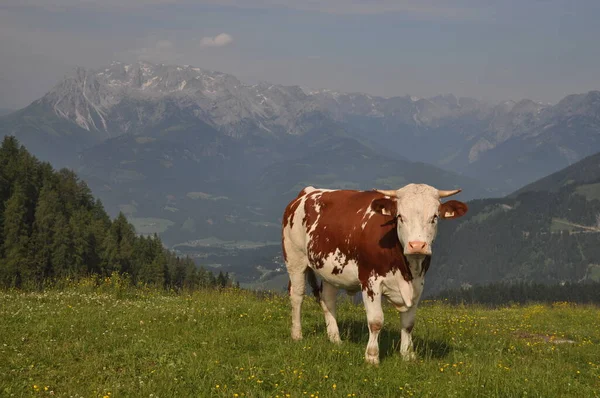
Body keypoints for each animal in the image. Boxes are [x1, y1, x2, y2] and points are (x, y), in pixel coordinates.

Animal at [282, 183, 468, 364]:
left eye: (434, 217)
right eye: (400, 216)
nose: (417, 245)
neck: (406, 271)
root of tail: (308, 192)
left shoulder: (418, 284)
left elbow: (408, 323)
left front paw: (408, 355)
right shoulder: (370, 281)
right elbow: (376, 321)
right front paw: (372, 356)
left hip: (330, 271)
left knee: (327, 299)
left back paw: (335, 339)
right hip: (295, 258)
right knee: (297, 295)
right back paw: (297, 335)